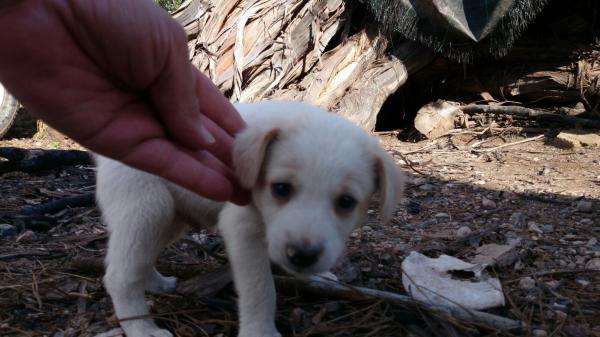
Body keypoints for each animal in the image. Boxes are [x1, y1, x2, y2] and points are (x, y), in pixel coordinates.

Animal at [97, 101, 404, 334]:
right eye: (281, 188)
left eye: (346, 202)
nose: (302, 256)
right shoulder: (242, 229)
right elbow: (261, 289)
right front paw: (261, 331)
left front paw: (321, 276)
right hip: (148, 209)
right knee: (119, 276)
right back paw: (142, 328)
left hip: (170, 219)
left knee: (140, 260)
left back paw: (157, 283)